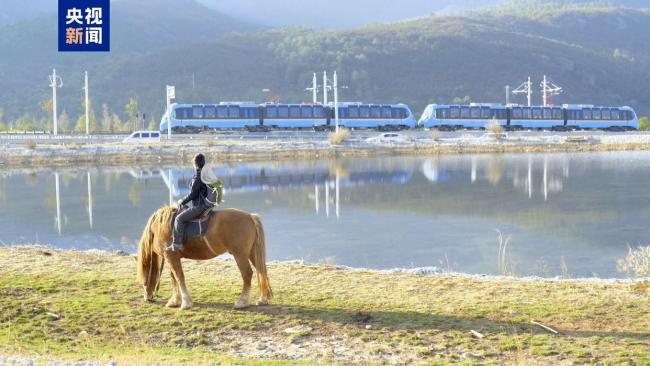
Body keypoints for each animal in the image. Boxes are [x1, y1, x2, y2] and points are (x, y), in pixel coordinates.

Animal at [135, 206, 270, 308]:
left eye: (144, 275)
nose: (147, 297)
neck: (159, 227)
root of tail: (250, 216)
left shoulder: (171, 257)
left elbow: (179, 277)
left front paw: (186, 302)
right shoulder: (172, 258)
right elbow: (174, 277)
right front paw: (175, 301)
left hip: (240, 255)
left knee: (247, 274)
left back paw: (242, 302)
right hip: (251, 253)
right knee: (261, 271)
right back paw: (263, 299)